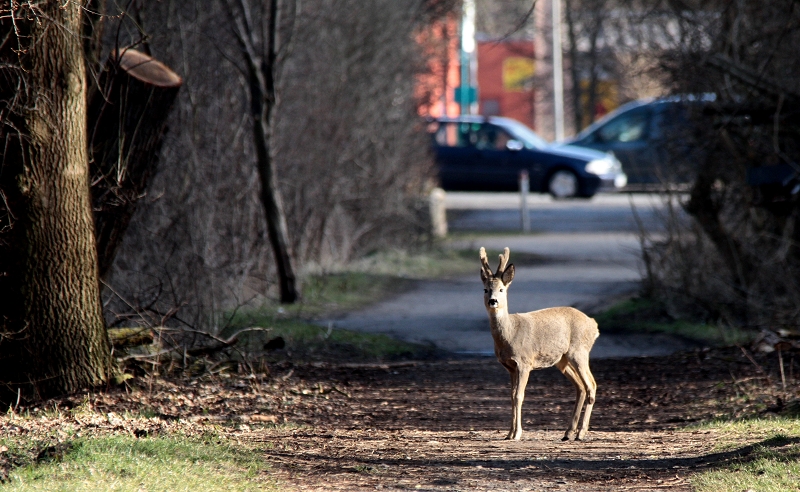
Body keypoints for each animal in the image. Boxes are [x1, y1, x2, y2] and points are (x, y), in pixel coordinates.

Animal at [478, 248, 596, 440]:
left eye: (501, 289)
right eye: (486, 289)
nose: (493, 301)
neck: (510, 333)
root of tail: (594, 325)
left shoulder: (525, 362)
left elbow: (519, 396)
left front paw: (517, 434)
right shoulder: (510, 366)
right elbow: (511, 396)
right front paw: (509, 433)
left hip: (579, 351)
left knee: (591, 385)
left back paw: (581, 433)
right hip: (562, 360)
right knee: (581, 387)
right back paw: (568, 433)